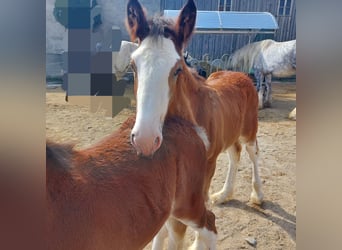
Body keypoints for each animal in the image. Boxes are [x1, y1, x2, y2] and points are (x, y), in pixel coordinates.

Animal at [127, 0, 264, 206]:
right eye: (133, 66)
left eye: (178, 69)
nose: (145, 140)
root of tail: (241, 74)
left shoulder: (208, 164)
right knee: (235, 153)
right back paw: (224, 194)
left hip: (249, 129)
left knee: (253, 151)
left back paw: (257, 195)